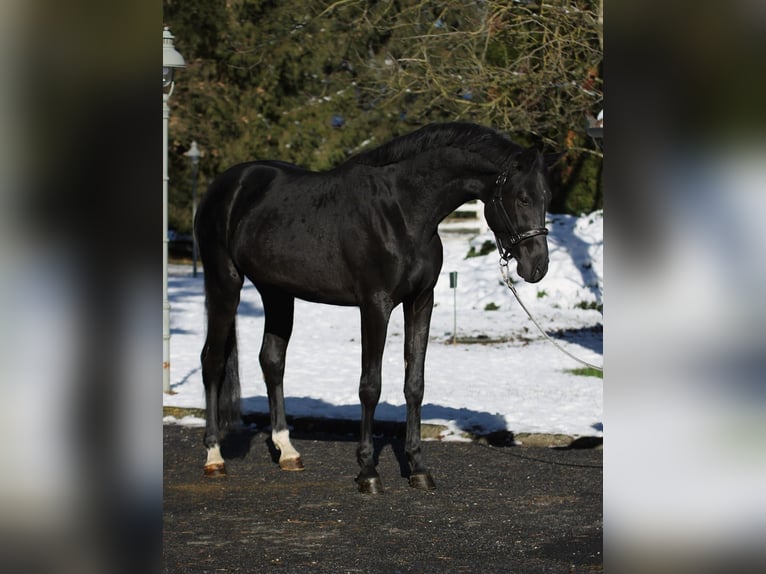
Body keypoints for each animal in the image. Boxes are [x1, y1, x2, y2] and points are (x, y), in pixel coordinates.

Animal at [194, 121, 552, 496]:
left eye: (546, 197)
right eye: (523, 197)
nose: (537, 267)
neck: (402, 211)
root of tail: (228, 185)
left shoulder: (421, 301)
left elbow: (414, 384)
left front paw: (418, 468)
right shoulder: (375, 305)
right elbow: (370, 386)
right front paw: (368, 471)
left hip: (276, 293)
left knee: (272, 361)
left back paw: (288, 452)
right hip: (224, 284)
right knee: (212, 360)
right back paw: (214, 457)